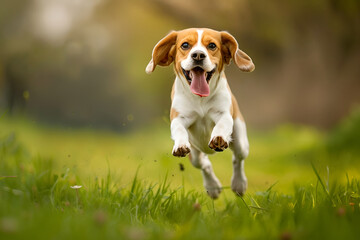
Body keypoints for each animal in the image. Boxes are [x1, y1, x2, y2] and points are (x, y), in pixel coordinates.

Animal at [145, 27, 255, 199]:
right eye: (185, 45)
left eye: (212, 45)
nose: (198, 55)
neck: (200, 99)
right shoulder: (178, 117)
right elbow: (178, 129)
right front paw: (180, 145)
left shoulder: (224, 114)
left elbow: (222, 125)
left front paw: (218, 137)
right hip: (195, 154)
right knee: (204, 164)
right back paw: (213, 186)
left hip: (240, 140)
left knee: (238, 158)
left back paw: (239, 184)